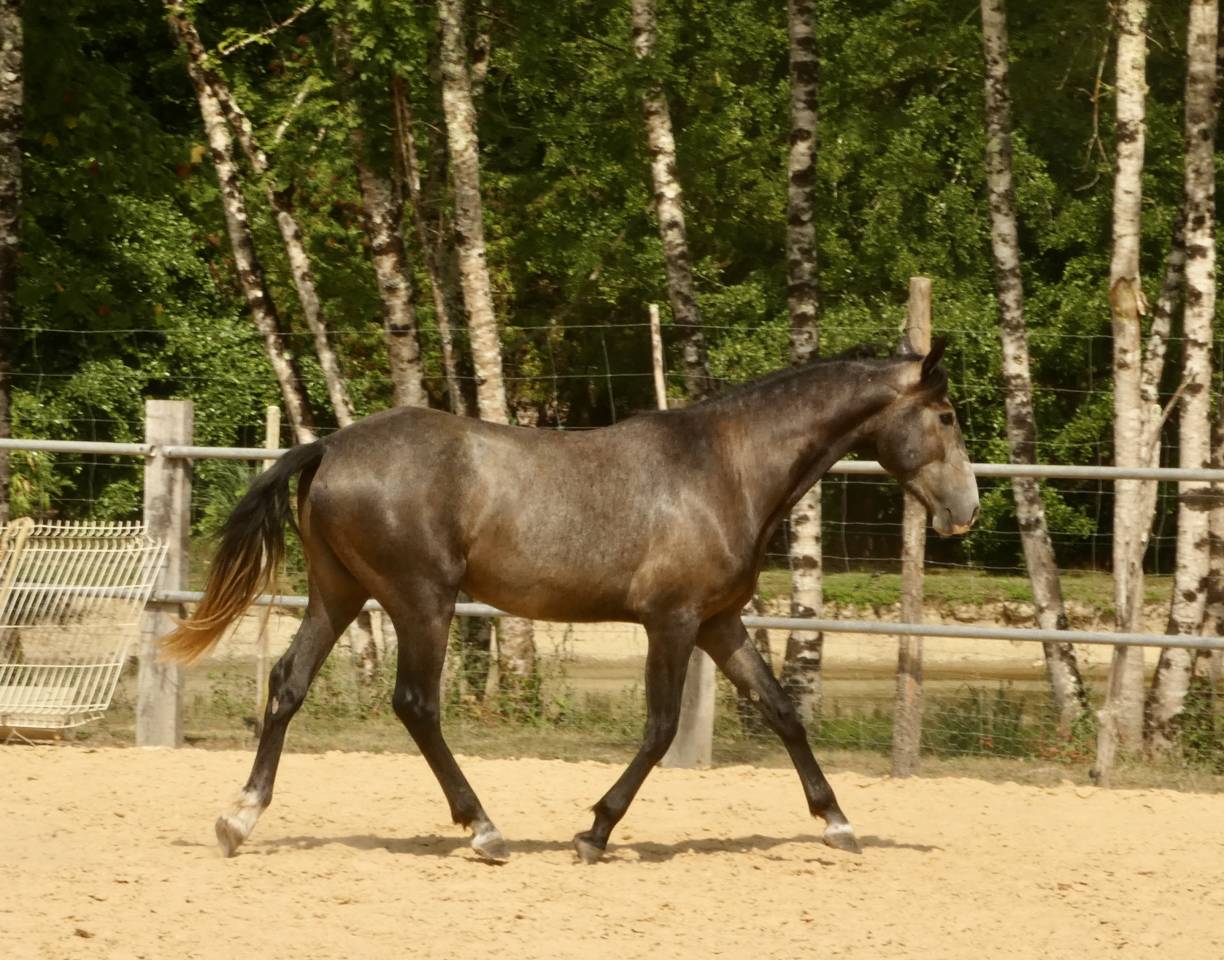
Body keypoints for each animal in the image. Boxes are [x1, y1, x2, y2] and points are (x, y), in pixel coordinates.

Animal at [161, 338, 979, 863]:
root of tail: (329, 446)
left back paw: (239, 820)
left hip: (339, 593)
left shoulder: (718, 622)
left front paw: (838, 823)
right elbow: (659, 729)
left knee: (288, 684)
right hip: (421, 600)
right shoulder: (672, 622)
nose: (966, 510)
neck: (726, 467)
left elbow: (782, 712)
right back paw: (485, 831)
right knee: (415, 705)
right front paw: (594, 833)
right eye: (946, 418)